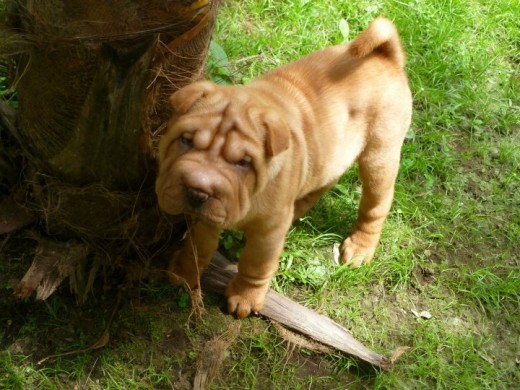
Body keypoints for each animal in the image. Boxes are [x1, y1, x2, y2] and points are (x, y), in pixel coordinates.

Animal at [156, 16, 412, 318]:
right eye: (186, 140)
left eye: (243, 163)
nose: (198, 191)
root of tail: (385, 56)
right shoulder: (206, 216)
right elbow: (199, 245)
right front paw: (184, 272)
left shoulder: (268, 232)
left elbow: (255, 264)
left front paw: (245, 298)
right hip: (332, 152)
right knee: (324, 179)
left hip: (379, 155)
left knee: (375, 204)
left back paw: (361, 247)